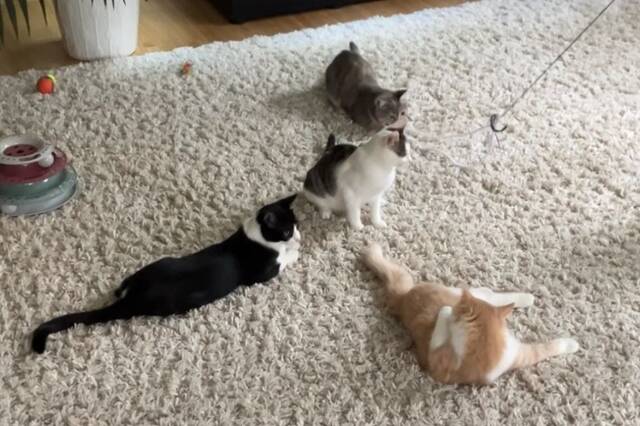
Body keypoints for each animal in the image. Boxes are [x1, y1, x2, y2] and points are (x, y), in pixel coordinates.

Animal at [31, 194, 300, 354]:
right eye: (286, 231)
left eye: (297, 225)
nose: (298, 236)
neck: (256, 234)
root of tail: (132, 298)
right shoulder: (260, 273)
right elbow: (283, 261)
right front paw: (296, 251)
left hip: (155, 266)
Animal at [362, 243, 580, 385]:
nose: (452, 309)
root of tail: (403, 297)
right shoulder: (437, 365)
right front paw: (446, 312)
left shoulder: (517, 354)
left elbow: (547, 348)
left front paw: (571, 344)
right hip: (462, 292)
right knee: (489, 293)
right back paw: (527, 298)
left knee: (491, 295)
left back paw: (527, 298)